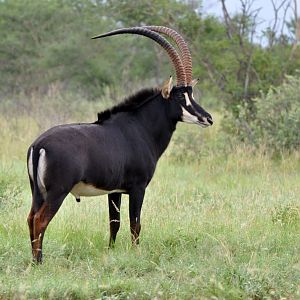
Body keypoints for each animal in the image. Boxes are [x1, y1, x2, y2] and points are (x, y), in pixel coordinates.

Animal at [27, 27, 212, 264]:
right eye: (180, 96)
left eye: (191, 93)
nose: (207, 118)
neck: (140, 126)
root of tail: (39, 145)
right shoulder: (138, 188)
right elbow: (135, 224)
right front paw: (136, 254)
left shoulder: (113, 191)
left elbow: (114, 223)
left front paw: (111, 252)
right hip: (57, 192)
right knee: (40, 220)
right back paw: (39, 262)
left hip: (37, 192)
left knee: (30, 218)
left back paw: (34, 260)